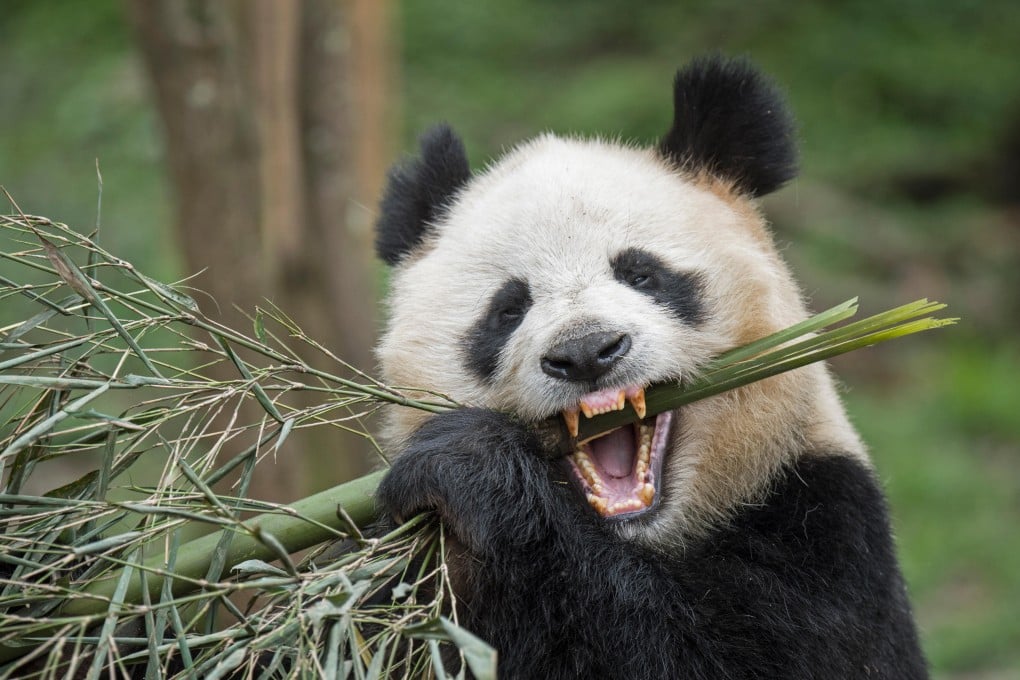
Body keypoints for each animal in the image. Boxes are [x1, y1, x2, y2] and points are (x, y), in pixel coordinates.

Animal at [372, 55, 928, 679]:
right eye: (508, 308)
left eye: (642, 274)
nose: (586, 352)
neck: (635, 537)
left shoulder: (827, 524)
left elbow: (702, 652)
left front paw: (473, 469)